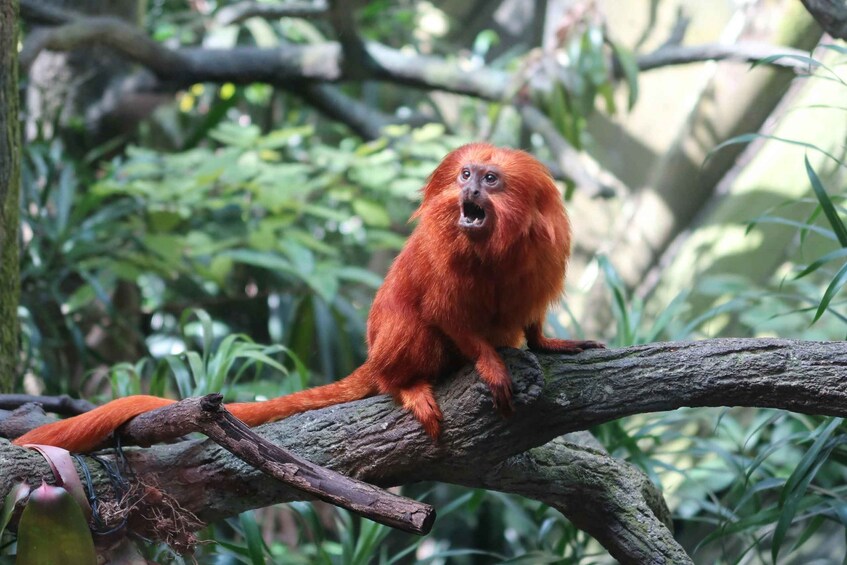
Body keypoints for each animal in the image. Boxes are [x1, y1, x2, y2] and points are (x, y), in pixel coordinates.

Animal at [13, 143, 603, 452]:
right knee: (409, 331)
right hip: (391, 348)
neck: (494, 249)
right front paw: (489, 364)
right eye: (463, 175)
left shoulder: (542, 257)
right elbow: (443, 312)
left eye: (491, 179)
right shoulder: (442, 260)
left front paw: (547, 343)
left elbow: (530, 318)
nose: (471, 191)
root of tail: (374, 359)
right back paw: (408, 385)